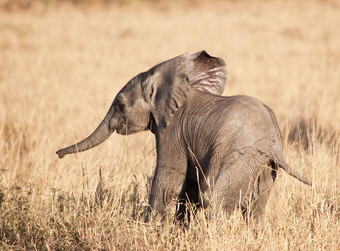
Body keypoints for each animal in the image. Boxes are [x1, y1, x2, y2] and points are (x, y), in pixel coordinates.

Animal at [56, 50, 314, 222]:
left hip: (240, 157)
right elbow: (188, 189)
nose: (58, 154)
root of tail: (274, 145)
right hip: (263, 167)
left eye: (120, 105)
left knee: (213, 197)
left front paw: (149, 229)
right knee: (254, 210)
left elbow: (167, 182)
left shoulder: (172, 130)